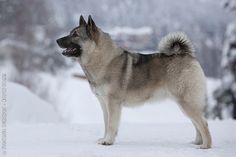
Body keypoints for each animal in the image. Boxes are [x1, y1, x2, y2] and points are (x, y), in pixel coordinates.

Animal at [56, 14, 212, 148]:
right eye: (70, 32)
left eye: (75, 35)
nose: (57, 40)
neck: (102, 59)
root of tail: (187, 55)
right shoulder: (104, 103)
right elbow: (106, 123)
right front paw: (105, 139)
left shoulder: (113, 103)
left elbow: (111, 124)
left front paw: (108, 141)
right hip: (184, 104)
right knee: (197, 124)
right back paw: (197, 142)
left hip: (186, 102)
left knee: (203, 123)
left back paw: (206, 145)